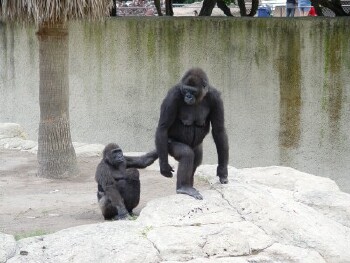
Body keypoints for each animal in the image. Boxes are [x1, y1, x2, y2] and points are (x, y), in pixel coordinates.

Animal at [154, 67, 228, 200]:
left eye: (192, 91)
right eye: (186, 90)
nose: (188, 96)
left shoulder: (216, 98)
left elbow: (219, 130)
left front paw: (222, 171)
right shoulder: (173, 96)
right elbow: (163, 128)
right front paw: (164, 167)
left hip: (197, 148)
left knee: (196, 160)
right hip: (168, 144)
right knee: (187, 154)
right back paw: (184, 188)